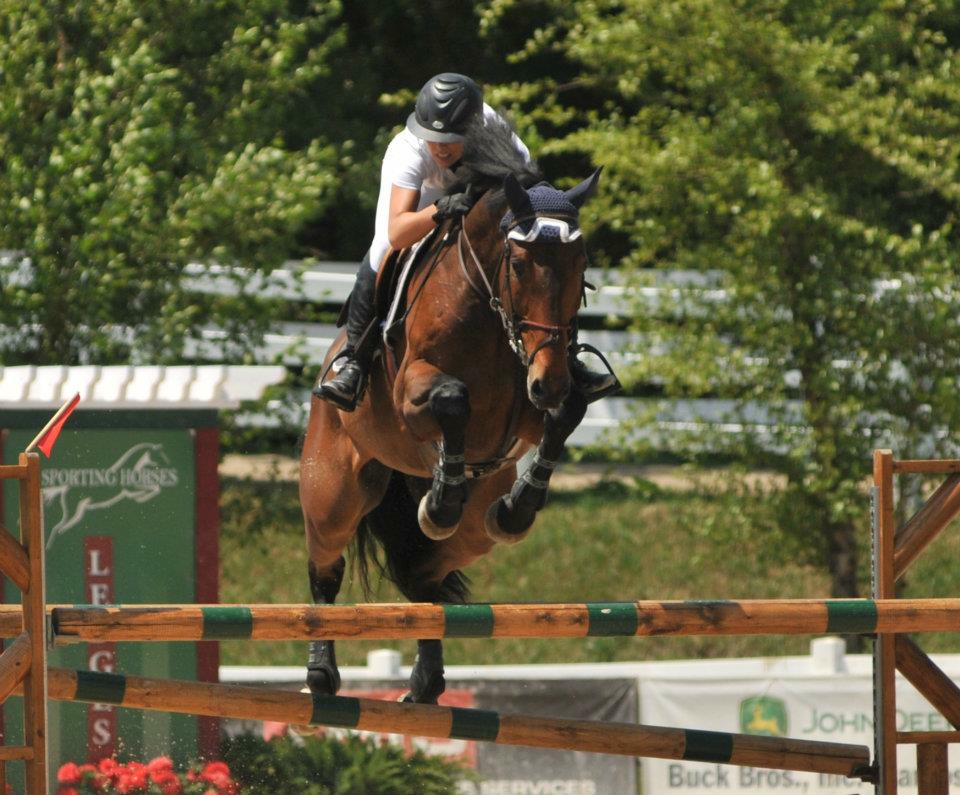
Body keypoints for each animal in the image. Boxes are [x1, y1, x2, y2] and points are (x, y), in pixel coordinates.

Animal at [299, 123, 601, 704]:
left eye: (581, 267)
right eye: (519, 264)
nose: (547, 381)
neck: (487, 308)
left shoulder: (535, 400)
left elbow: (567, 411)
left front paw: (519, 506)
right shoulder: (412, 394)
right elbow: (451, 399)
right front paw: (442, 499)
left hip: (474, 528)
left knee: (425, 576)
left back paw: (424, 683)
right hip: (335, 491)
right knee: (326, 565)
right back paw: (322, 671)